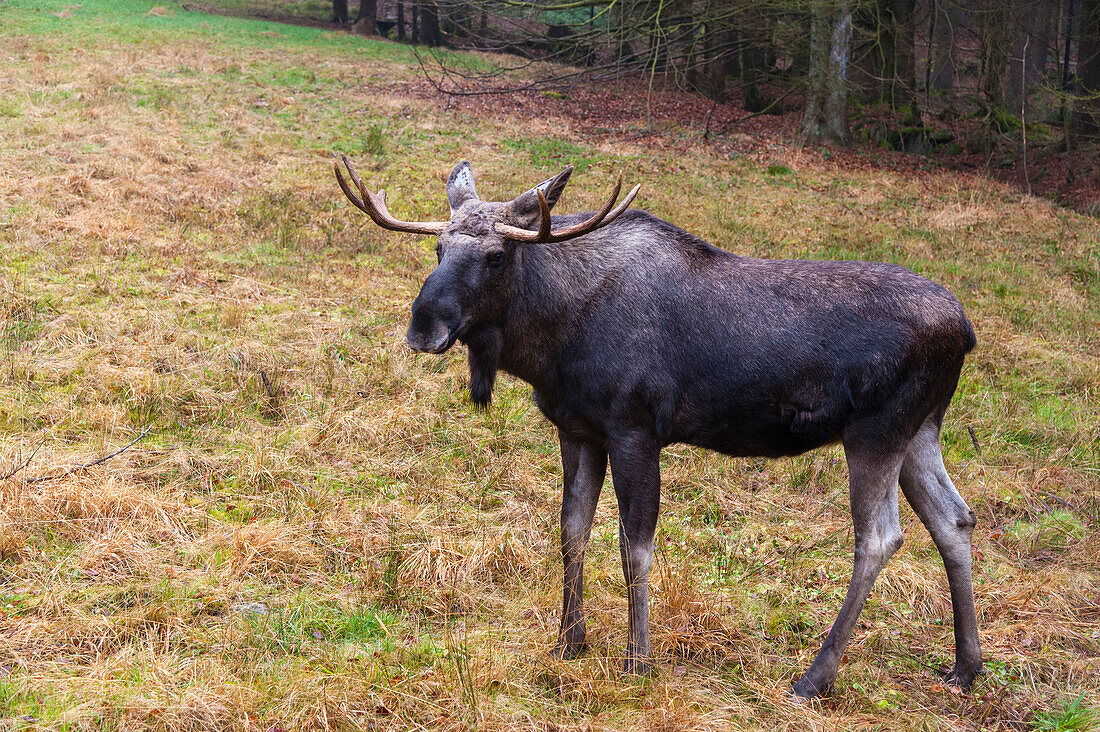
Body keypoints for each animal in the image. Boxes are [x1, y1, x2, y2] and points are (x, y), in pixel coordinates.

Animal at [332, 154, 981, 695]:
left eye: (495, 256)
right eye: (438, 249)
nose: (424, 327)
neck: (551, 338)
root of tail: (966, 330)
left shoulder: (635, 430)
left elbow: (635, 549)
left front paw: (636, 659)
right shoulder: (577, 428)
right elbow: (571, 530)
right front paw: (570, 641)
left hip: (876, 431)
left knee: (880, 537)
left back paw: (815, 677)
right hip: (921, 430)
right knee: (954, 520)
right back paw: (965, 667)